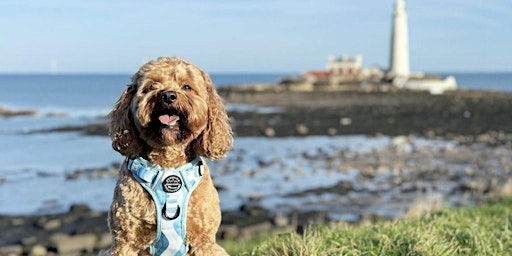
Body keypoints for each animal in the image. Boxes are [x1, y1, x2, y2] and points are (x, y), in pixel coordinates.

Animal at [107, 57, 233, 255]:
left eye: (187, 87)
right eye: (152, 86)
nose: (168, 96)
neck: (168, 163)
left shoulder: (204, 241)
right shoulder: (124, 241)